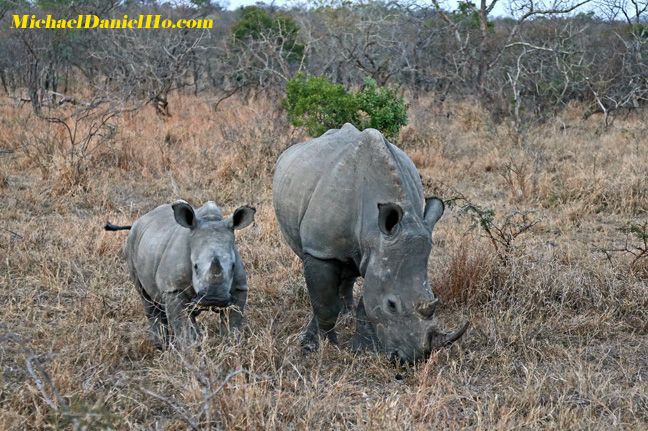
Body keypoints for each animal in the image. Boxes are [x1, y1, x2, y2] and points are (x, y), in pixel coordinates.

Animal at [105, 200, 254, 348]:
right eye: (195, 266)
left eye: (233, 266)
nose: (214, 299)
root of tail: (139, 220)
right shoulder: (174, 288)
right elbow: (181, 322)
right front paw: (189, 350)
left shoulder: (239, 287)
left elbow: (232, 321)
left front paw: (230, 345)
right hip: (131, 244)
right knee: (147, 298)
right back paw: (161, 346)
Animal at [272, 123, 466, 362]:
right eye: (391, 305)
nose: (410, 359)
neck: (375, 232)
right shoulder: (321, 250)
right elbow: (324, 305)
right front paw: (323, 346)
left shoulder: (378, 254)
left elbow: (366, 302)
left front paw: (363, 349)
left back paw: (346, 311)